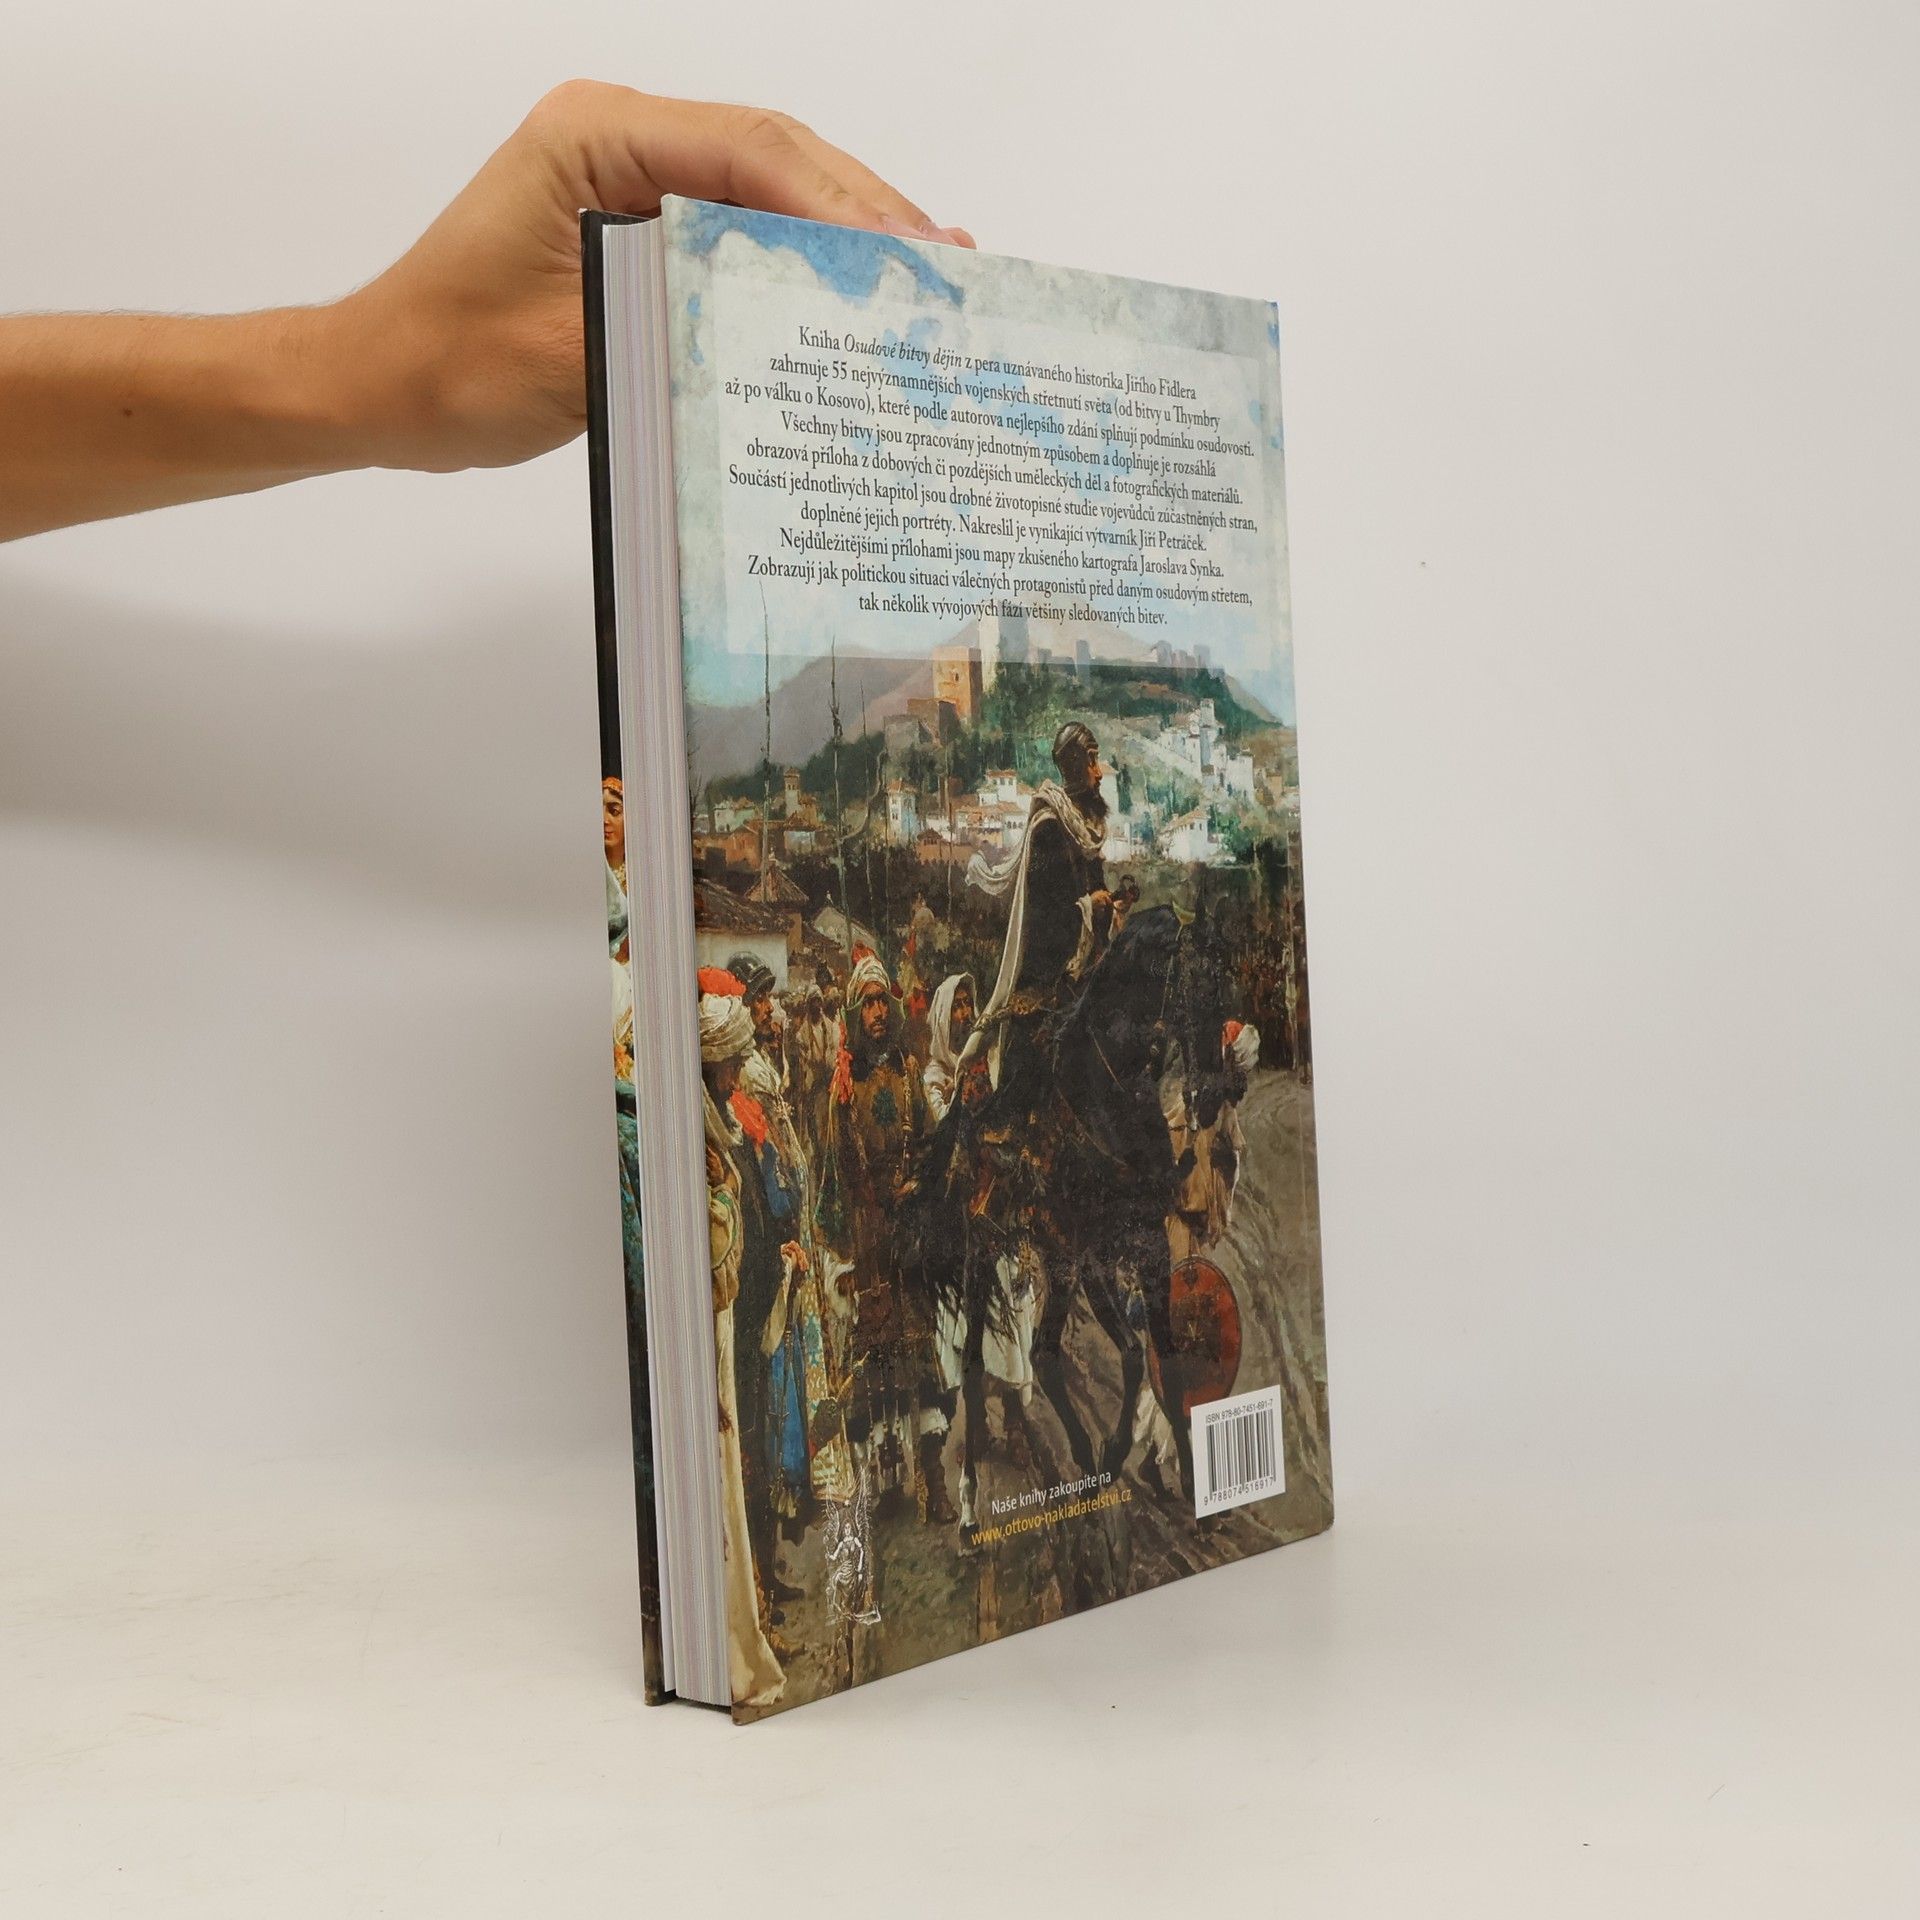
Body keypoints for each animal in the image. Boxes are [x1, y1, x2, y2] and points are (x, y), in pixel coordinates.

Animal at [900, 901, 1243, 1537]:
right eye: (1190, 988)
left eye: (1222, 991)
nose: (1210, 1097)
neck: (1107, 1093)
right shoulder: (1075, 1250)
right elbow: (1082, 1355)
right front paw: (1104, 1459)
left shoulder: (1139, 1244)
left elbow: (1157, 1356)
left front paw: (1189, 1481)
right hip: (989, 1256)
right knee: (986, 1363)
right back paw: (972, 1504)